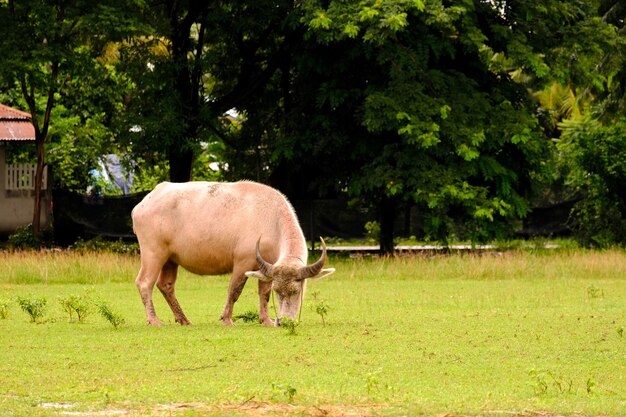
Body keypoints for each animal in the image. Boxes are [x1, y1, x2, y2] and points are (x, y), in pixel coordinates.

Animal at [132, 180, 334, 326]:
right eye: (280, 291)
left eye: (295, 291)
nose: (283, 321)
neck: (272, 221)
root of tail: (143, 203)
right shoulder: (243, 263)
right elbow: (234, 290)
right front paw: (227, 319)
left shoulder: (266, 267)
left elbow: (264, 293)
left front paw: (266, 320)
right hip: (153, 253)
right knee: (145, 283)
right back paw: (154, 320)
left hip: (170, 259)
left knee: (165, 285)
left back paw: (184, 319)